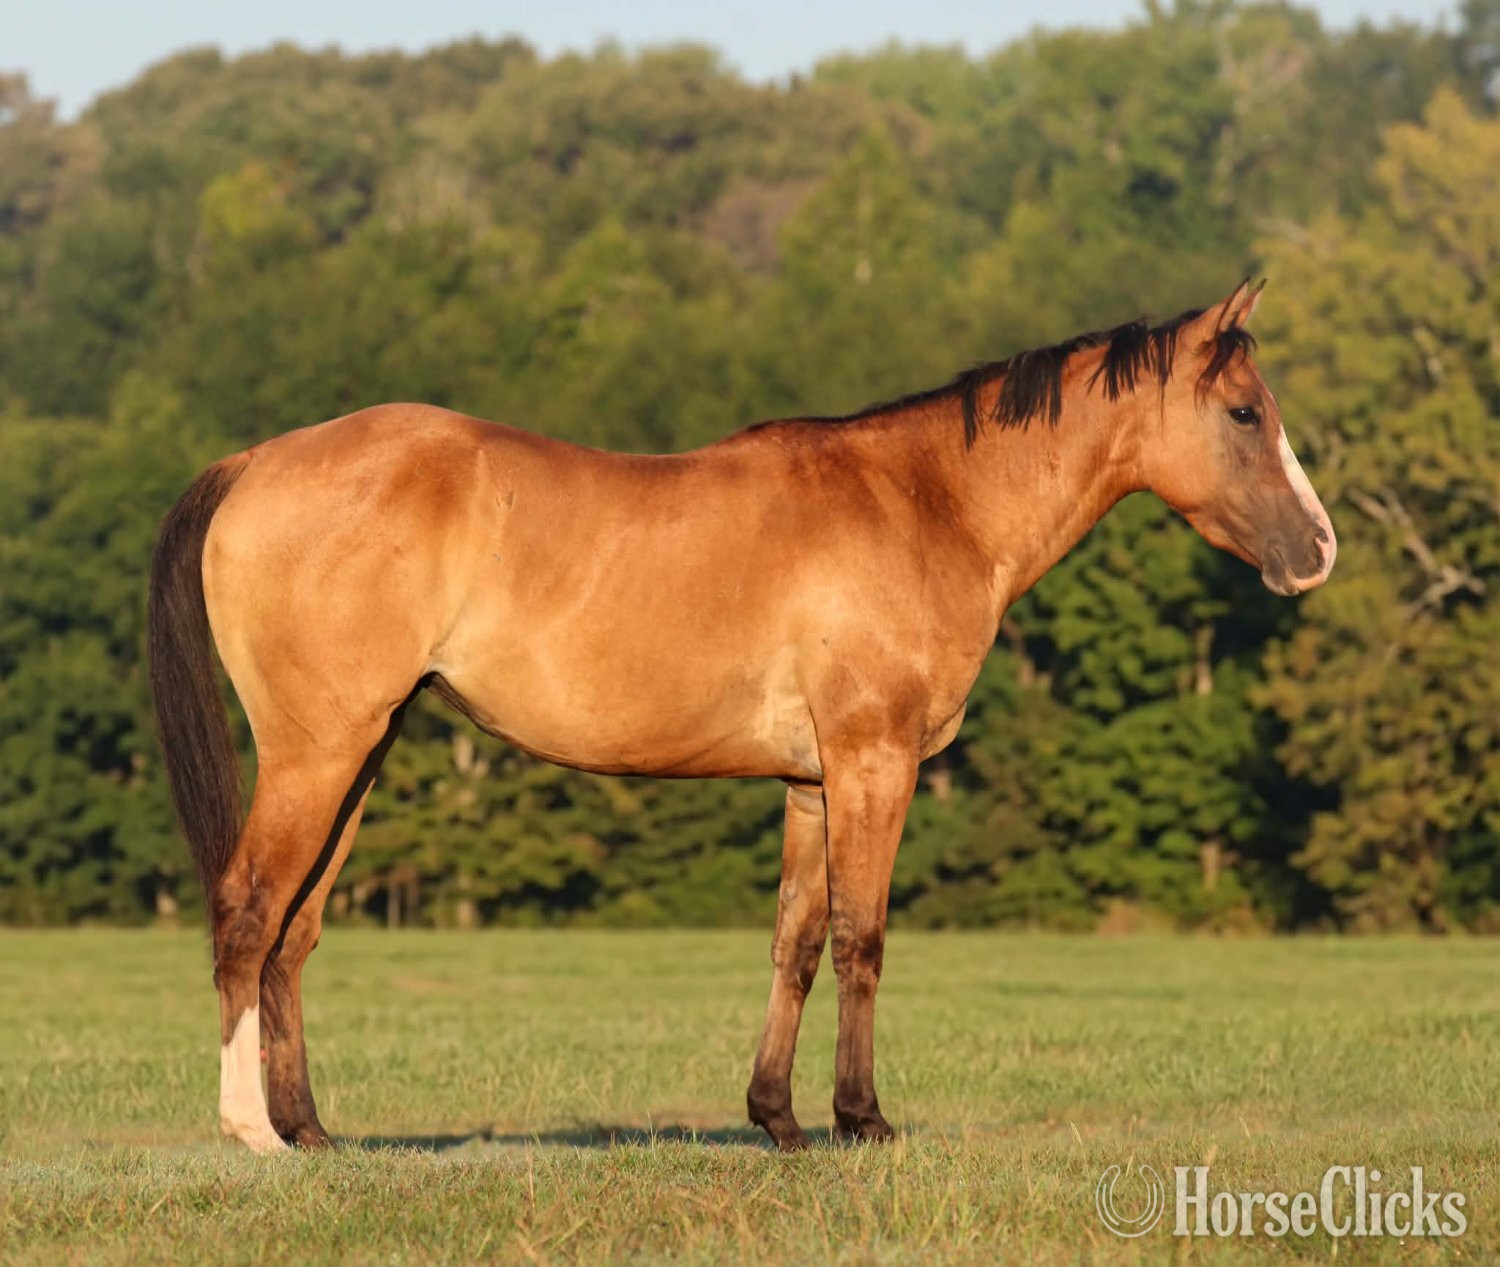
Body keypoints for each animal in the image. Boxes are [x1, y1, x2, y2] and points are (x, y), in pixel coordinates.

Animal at [148, 279, 1334, 1153]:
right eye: (1245, 414)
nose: (1317, 550)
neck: (924, 503)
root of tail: (255, 461)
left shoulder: (811, 781)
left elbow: (795, 943)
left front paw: (780, 1120)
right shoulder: (872, 762)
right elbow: (862, 937)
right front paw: (862, 1120)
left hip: (361, 755)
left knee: (295, 932)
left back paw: (311, 1131)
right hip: (316, 753)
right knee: (248, 911)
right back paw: (252, 1132)